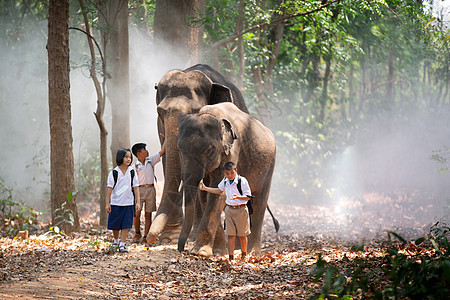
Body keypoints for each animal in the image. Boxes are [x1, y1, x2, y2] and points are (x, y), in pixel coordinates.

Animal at [177, 101, 276, 255]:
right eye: (179, 149)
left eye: (209, 150)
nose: (181, 249)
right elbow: (207, 195)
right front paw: (218, 252)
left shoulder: (233, 150)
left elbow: (219, 195)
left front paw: (199, 252)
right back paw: (238, 248)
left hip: (269, 166)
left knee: (260, 202)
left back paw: (251, 252)